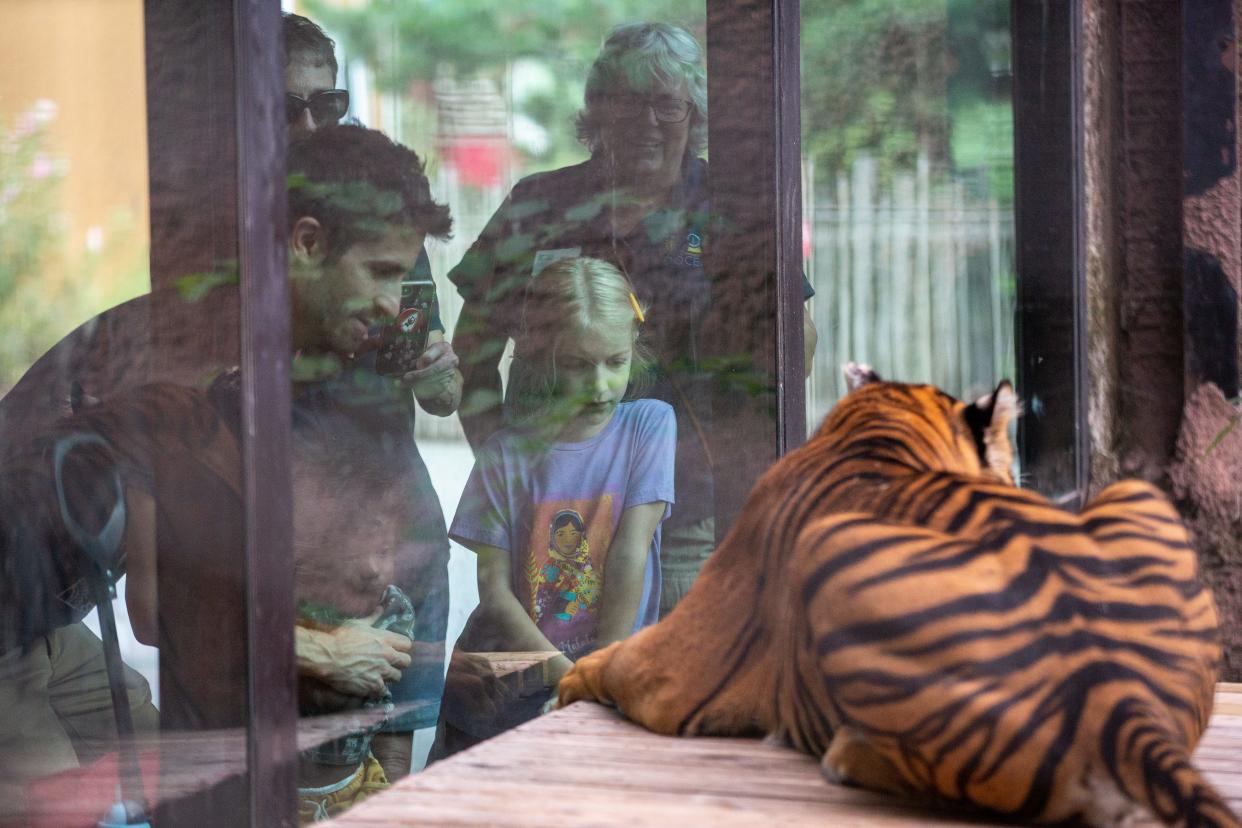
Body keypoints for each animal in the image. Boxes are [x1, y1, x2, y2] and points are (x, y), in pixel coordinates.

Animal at [561, 364, 1232, 828]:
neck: (881, 429)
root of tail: (1116, 694)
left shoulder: (671, 667)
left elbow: (609, 660)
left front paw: (568, 683)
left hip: (834, 546)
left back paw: (845, 754)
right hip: (1138, 494)